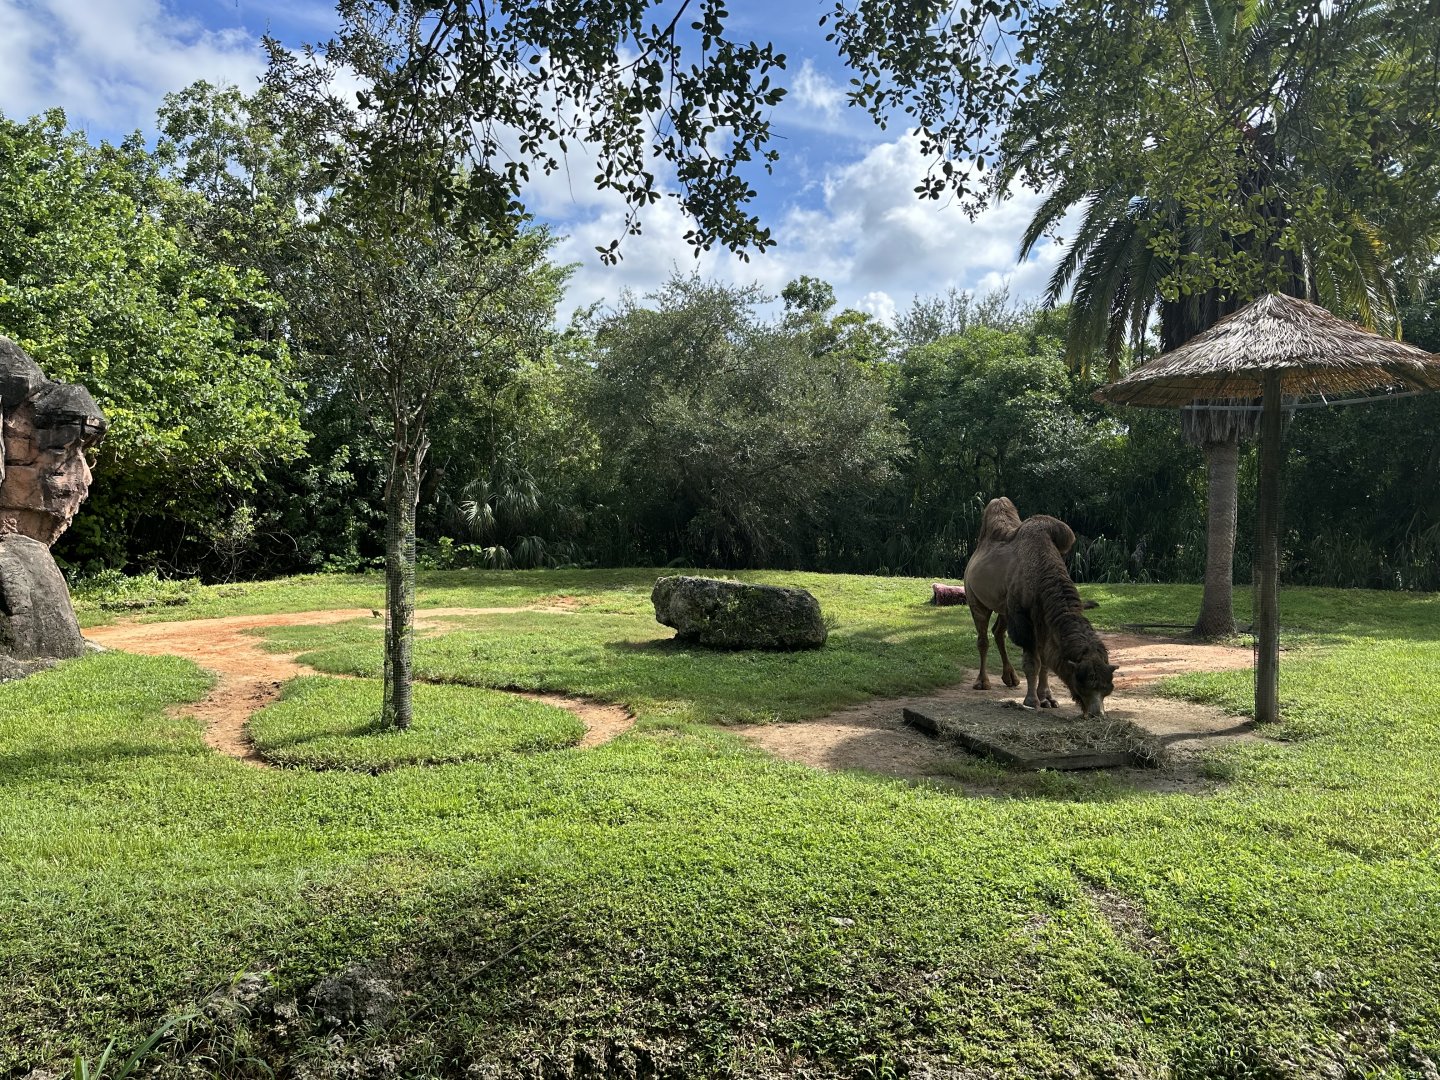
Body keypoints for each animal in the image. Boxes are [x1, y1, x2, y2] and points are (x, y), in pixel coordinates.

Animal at [1005, 515, 1116, 718]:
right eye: (1080, 682)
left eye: (1107, 689)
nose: (1097, 713)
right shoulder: (1022, 621)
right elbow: (1032, 662)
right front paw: (1031, 701)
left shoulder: (1045, 628)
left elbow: (1046, 660)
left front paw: (1047, 699)